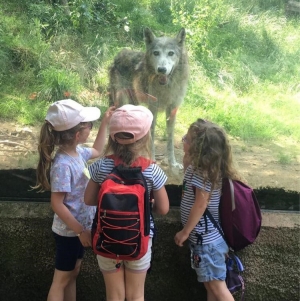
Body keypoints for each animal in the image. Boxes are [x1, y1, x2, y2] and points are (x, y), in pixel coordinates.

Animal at [108, 27, 189, 168]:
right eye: (156, 53)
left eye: (171, 53)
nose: (161, 69)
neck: (167, 86)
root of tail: (119, 54)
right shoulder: (153, 108)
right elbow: (151, 136)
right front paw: (152, 159)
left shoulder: (172, 109)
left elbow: (170, 139)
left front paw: (173, 163)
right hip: (122, 101)